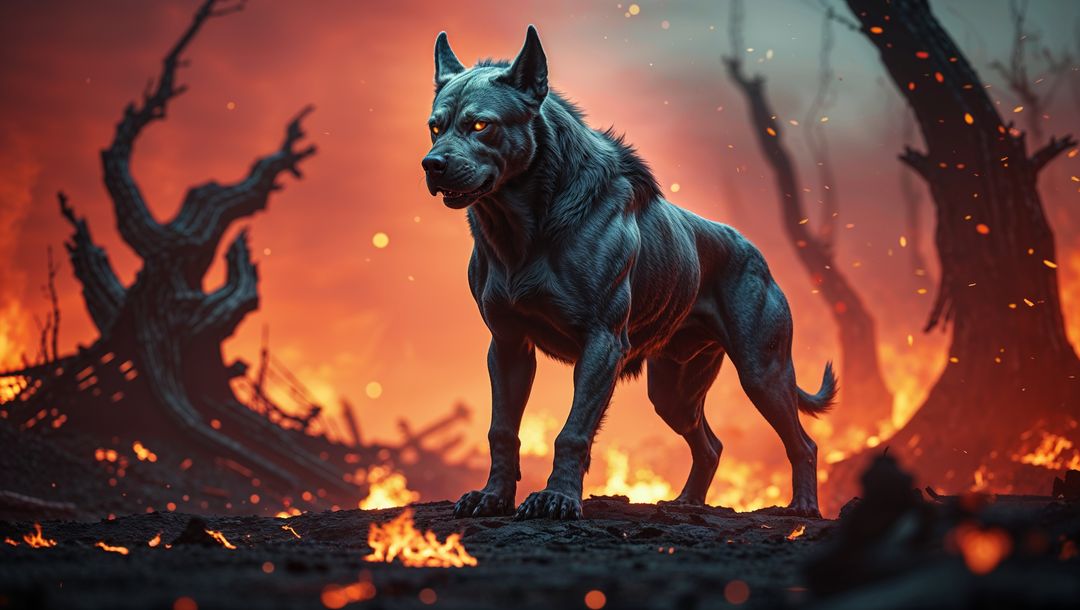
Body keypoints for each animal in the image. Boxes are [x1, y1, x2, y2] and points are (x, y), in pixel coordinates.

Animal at [422, 26, 837, 520]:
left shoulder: (602, 343)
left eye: (481, 125)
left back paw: (803, 508)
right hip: (674, 392)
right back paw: (686, 502)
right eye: (435, 127)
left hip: (763, 372)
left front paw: (557, 499)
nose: (432, 164)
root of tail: (754, 251)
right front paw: (492, 497)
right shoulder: (507, 345)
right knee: (711, 446)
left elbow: (572, 432)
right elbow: (501, 429)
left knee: (804, 443)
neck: (520, 227)